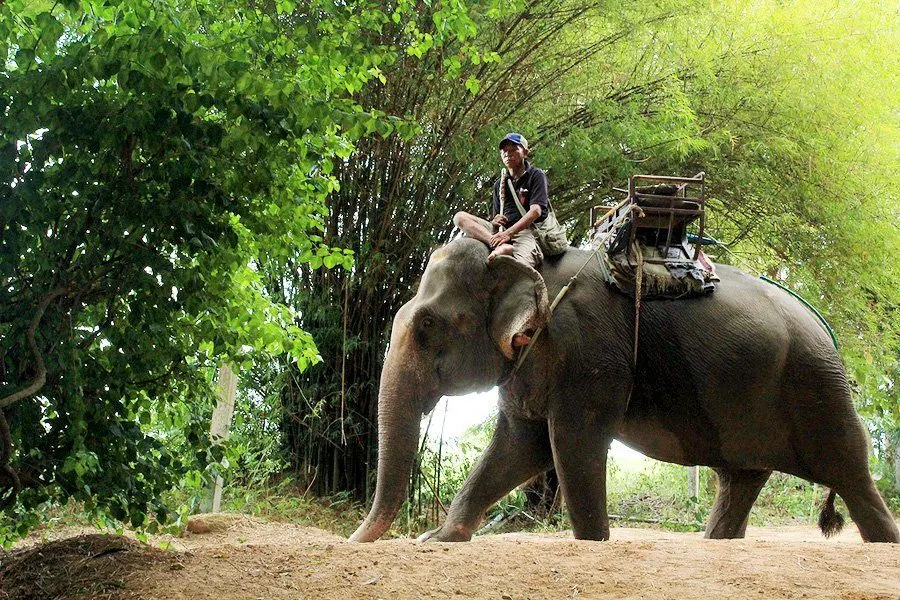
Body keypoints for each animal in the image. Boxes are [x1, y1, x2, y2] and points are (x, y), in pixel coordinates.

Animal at [349, 238, 899, 543]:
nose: (351, 540)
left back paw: (883, 542)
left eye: (426, 325)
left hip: (817, 387)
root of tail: (824, 327)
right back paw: (715, 542)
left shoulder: (587, 352)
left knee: (851, 471)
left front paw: (593, 542)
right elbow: (519, 445)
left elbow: (572, 442)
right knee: (741, 478)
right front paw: (437, 539)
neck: (524, 260)